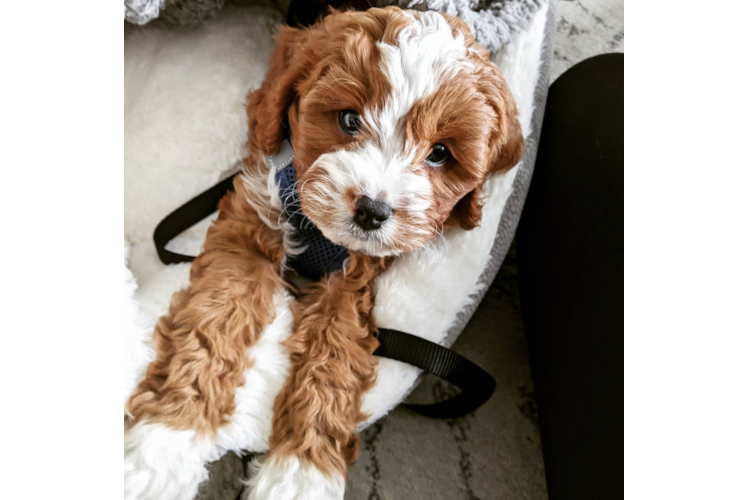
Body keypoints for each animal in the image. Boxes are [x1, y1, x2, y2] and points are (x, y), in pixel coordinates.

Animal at [125, 6, 524, 500]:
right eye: (349, 120)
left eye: (439, 153)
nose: (372, 210)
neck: (321, 233)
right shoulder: (250, 224)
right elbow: (211, 321)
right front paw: (163, 446)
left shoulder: (353, 281)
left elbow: (333, 358)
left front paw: (299, 476)